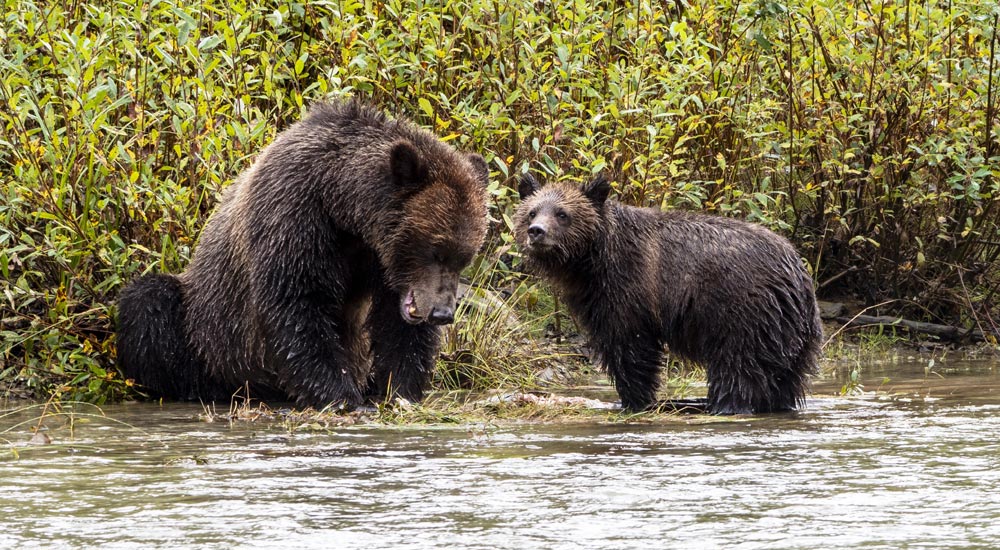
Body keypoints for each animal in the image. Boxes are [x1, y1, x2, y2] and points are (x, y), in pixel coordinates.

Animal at [117, 99, 490, 409]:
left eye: (465, 256)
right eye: (436, 250)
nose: (442, 313)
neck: (342, 207)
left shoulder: (377, 262)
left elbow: (398, 328)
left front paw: (397, 391)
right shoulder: (295, 217)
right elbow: (297, 306)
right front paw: (342, 397)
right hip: (208, 331)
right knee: (150, 304)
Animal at [514, 173, 822, 415]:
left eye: (562, 214)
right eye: (532, 211)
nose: (536, 231)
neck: (590, 262)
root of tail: (797, 271)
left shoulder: (629, 287)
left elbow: (629, 346)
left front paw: (633, 399)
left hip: (743, 311)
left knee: (738, 366)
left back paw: (724, 405)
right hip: (792, 332)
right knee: (785, 378)